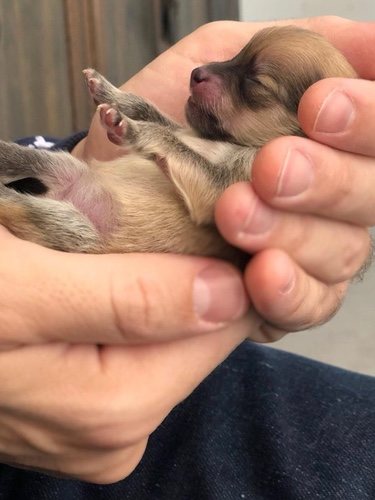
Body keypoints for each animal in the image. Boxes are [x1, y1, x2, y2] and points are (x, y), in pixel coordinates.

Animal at [0, 26, 358, 266]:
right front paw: (108, 91)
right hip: (58, 167)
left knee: (17, 206)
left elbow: (168, 138)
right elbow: (152, 112)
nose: (196, 73)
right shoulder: (186, 130)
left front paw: (131, 128)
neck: (225, 141)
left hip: (72, 227)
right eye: (236, 54)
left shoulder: (222, 189)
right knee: (28, 161)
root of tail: (66, 192)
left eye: (255, 82)